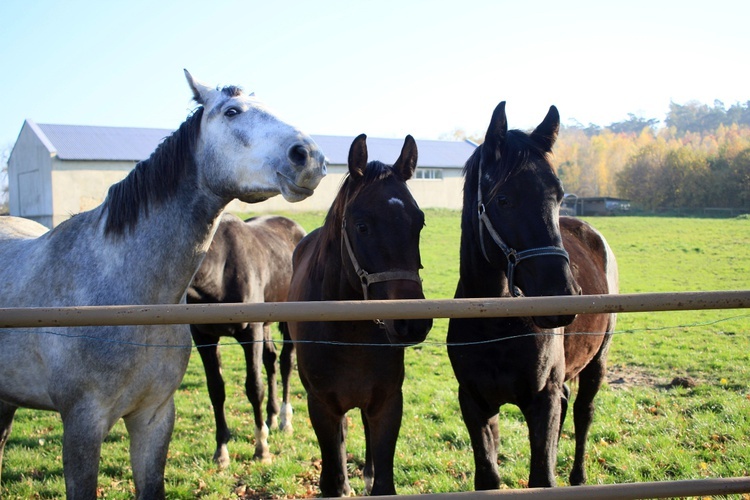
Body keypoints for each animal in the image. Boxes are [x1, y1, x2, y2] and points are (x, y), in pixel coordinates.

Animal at [188, 213, 306, 466]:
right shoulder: (204, 338)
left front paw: (262, 448)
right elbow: (216, 390)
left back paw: (284, 419)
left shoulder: (251, 334)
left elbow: (254, 387)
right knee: (271, 360)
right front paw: (221, 450)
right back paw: (272, 417)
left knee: (285, 362)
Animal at [286, 134, 432, 496]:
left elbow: (383, 483)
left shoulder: (388, 403)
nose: (413, 323)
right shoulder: (322, 406)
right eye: (362, 226)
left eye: (419, 222)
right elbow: (333, 479)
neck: (348, 333)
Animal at [450, 101, 620, 488]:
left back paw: (579, 477)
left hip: (597, 362)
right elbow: (488, 476)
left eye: (558, 196)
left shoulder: (543, 400)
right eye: (503, 199)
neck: (496, 325)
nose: (563, 294)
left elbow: (542, 476)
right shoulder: (474, 402)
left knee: (584, 413)